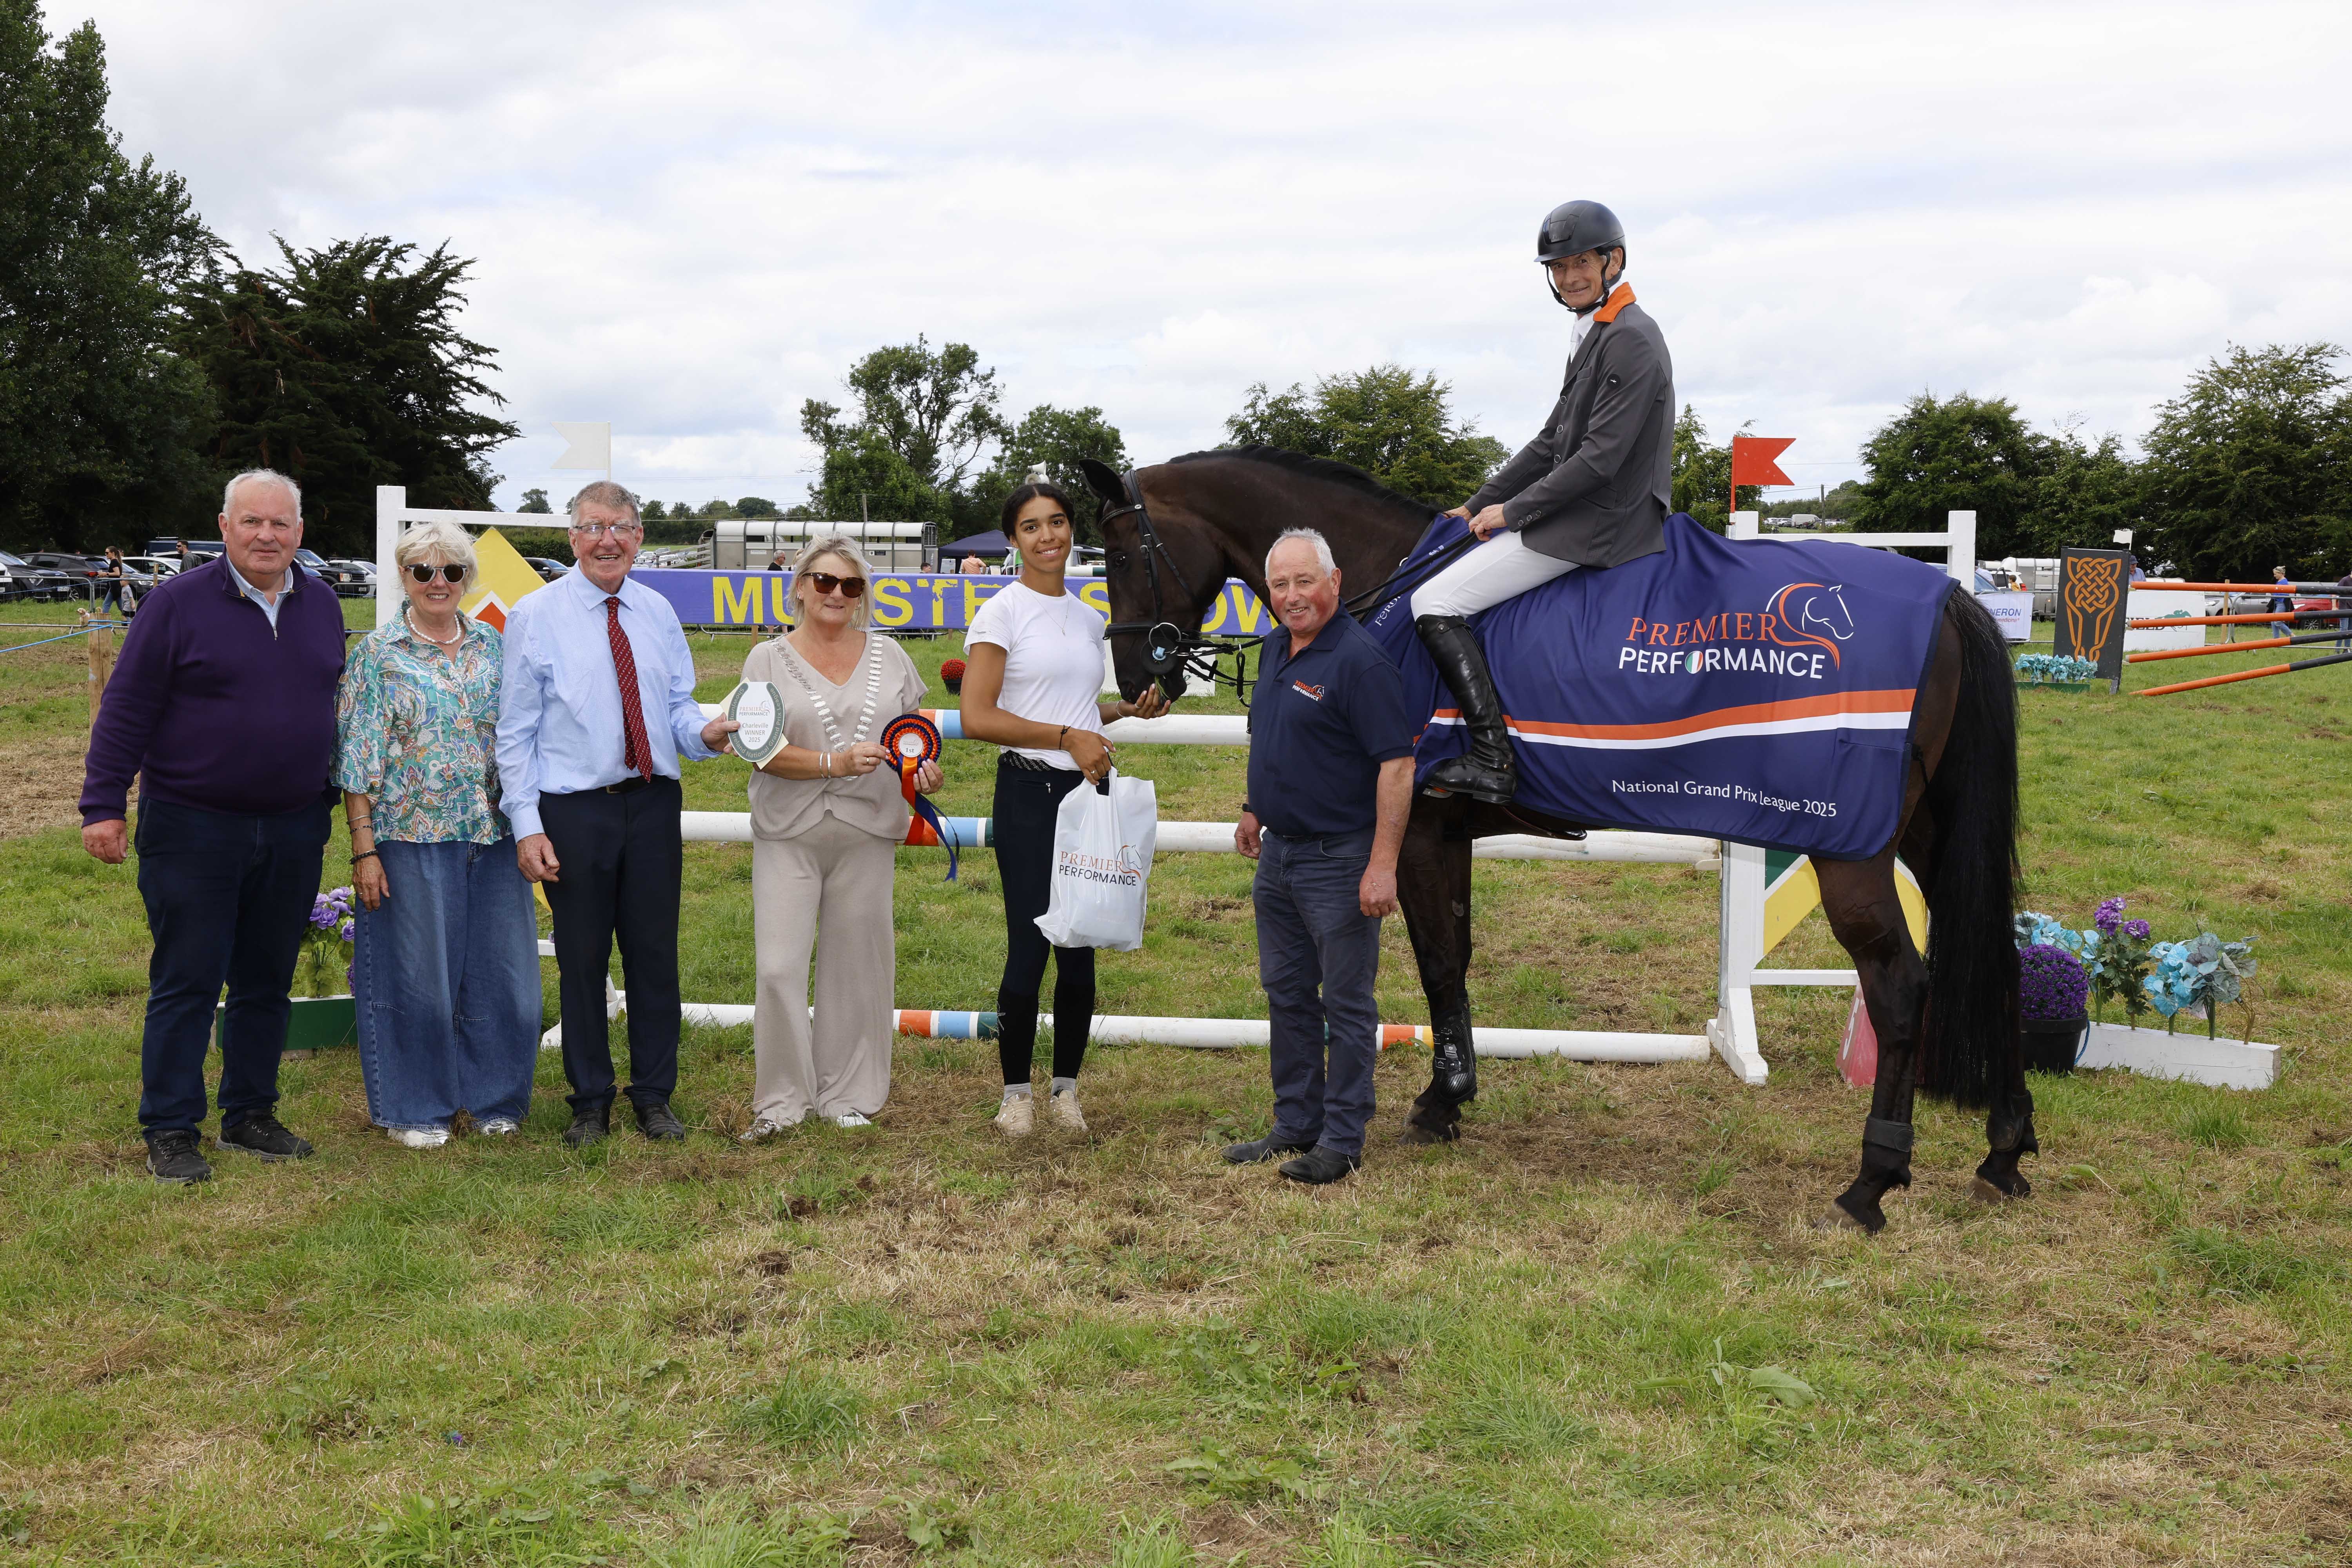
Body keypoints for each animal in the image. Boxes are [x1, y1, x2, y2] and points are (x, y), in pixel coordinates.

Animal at [1077, 447, 2031, 1235]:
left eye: (1118, 555)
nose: (1135, 680)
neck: (1385, 600)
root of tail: (1949, 598)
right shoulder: (1447, 837)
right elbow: (1455, 958)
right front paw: (1449, 1097)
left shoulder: (1415, 834)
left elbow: (1438, 962)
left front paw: (1440, 1100)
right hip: (1926, 833)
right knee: (1993, 960)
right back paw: (2005, 1149)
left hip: (1848, 849)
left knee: (1902, 988)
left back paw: (1873, 1181)